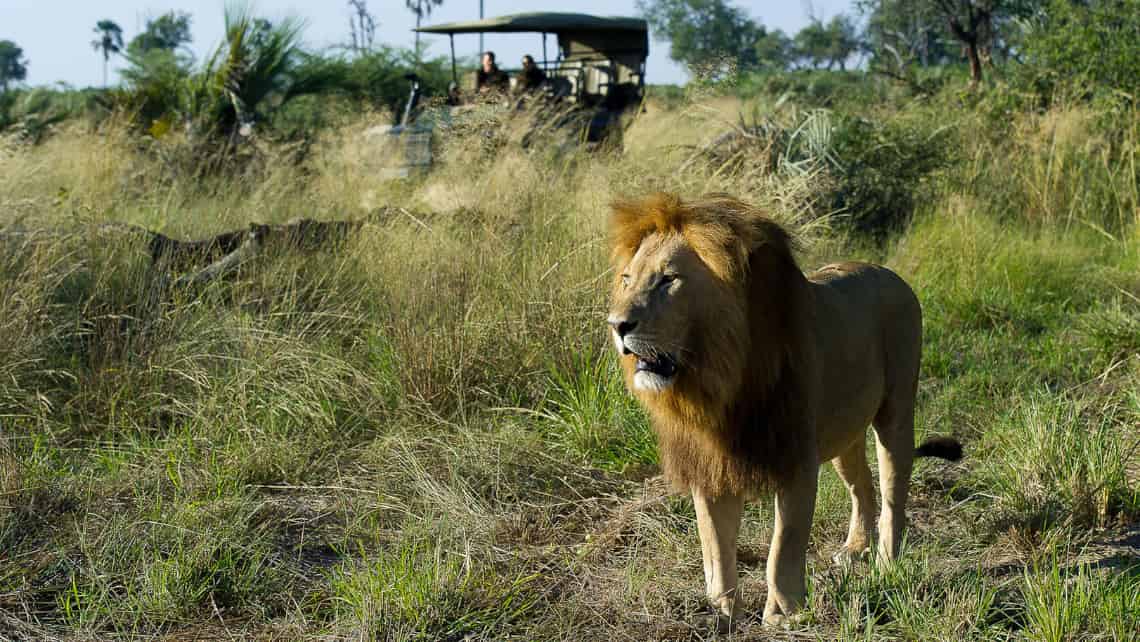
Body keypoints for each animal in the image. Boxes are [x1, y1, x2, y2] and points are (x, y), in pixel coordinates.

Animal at [606, 192, 962, 629]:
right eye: (627, 280)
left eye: (668, 279)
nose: (617, 324)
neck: (719, 383)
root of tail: (891, 274)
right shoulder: (711, 467)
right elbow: (715, 546)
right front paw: (722, 612)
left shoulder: (796, 461)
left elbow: (783, 547)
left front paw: (783, 613)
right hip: (843, 434)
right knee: (862, 486)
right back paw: (854, 548)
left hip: (895, 412)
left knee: (894, 496)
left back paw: (886, 563)